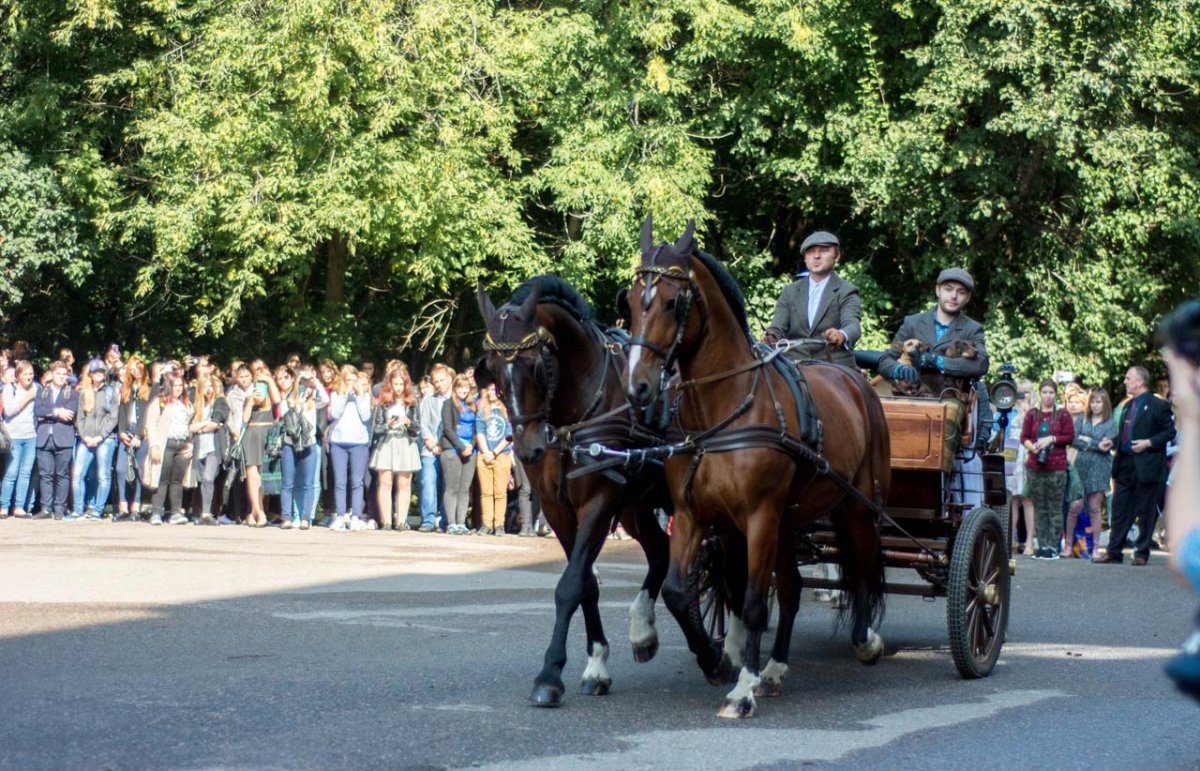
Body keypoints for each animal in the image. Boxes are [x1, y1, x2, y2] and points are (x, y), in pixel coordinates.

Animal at [475, 276, 676, 710]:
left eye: (536, 365)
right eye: (494, 371)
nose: (528, 449)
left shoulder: (598, 505)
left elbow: (569, 585)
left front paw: (550, 675)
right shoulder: (557, 510)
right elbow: (585, 583)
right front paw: (596, 664)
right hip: (636, 506)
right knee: (660, 551)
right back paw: (643, 632)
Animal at [628, 216, 892, 715]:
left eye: (673, 302)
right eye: (631, 300)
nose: (639, 387)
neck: (723, 409)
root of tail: (857, 384)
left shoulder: (758, 517)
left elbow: (751, 602)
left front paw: (742, 688)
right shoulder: (692, 515)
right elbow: (677, 591)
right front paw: (715, 660)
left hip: (857, 503)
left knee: (865, 563)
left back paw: (865, 640)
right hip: (788, 523)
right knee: (791, 590)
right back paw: (775, 668)